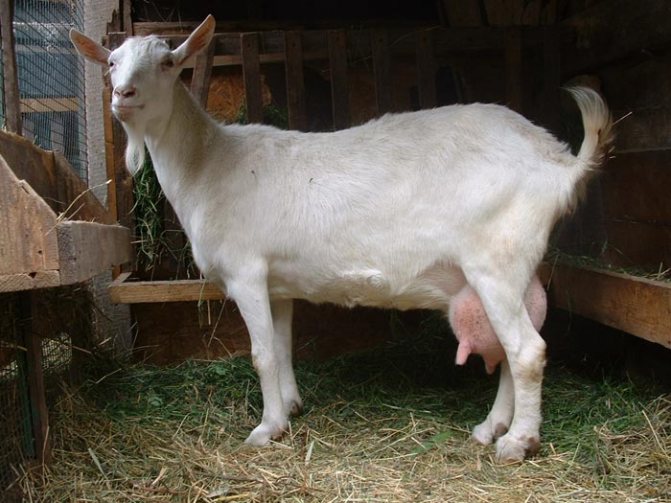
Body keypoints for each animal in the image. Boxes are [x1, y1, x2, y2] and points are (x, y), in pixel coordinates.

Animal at [70, 15, 613, 462]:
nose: (123, 95)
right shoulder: (276, 283)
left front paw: (266, 429)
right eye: (112, 62)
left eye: (168, 63)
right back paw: (491, 427)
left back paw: (518, 443)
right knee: (509, 347)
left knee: (527, 350)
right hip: (509, 269)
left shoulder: (246, 271)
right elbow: (283, 346)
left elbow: (261, 354)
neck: (209, 164)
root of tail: (559, 161)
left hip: (496, 261)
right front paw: (291, 406)